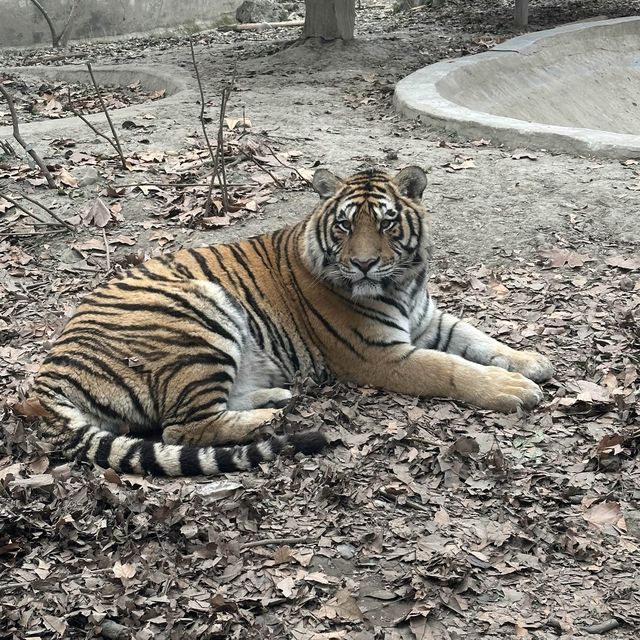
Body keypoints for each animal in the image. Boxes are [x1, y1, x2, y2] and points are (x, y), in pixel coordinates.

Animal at [35, 165, 552, 476]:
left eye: (386, 223)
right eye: (345, 224)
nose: (364, 264)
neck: (402, 285)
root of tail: (45, 380)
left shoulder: (427, 320)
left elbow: (479, 339)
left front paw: (531, 361)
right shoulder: (380, 355)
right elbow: (451, 368)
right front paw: (512, 390)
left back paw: (276, 398)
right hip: (201, 311)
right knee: (179, 428)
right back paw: (266, 419)